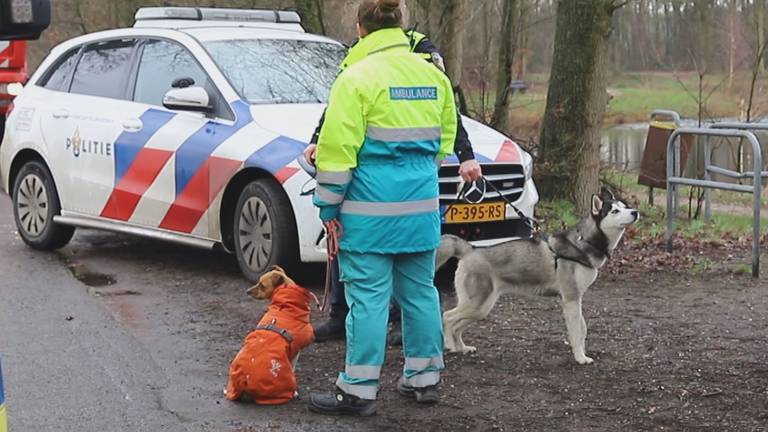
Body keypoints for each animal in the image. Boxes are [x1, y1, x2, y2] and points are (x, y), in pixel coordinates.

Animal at [225, 264, 316, 404]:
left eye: (262, 285)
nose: (247, 291)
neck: (285, 305)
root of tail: (244, 380)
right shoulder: (295, 352)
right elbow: (293, 368)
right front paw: (295, 391)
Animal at [436, 194, 640, 362]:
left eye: (625, 206)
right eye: (614, 211)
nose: (635, 212)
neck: (585, 242)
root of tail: (471, 249)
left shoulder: (577, 299)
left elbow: (583, 329)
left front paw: (582, 352)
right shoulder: (571, 299)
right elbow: (576, 333)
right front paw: (581, 358)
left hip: (481, 308)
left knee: (457, 326)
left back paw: (462, 348)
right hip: (477, 304)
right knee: (447, 317)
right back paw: (450, 345)